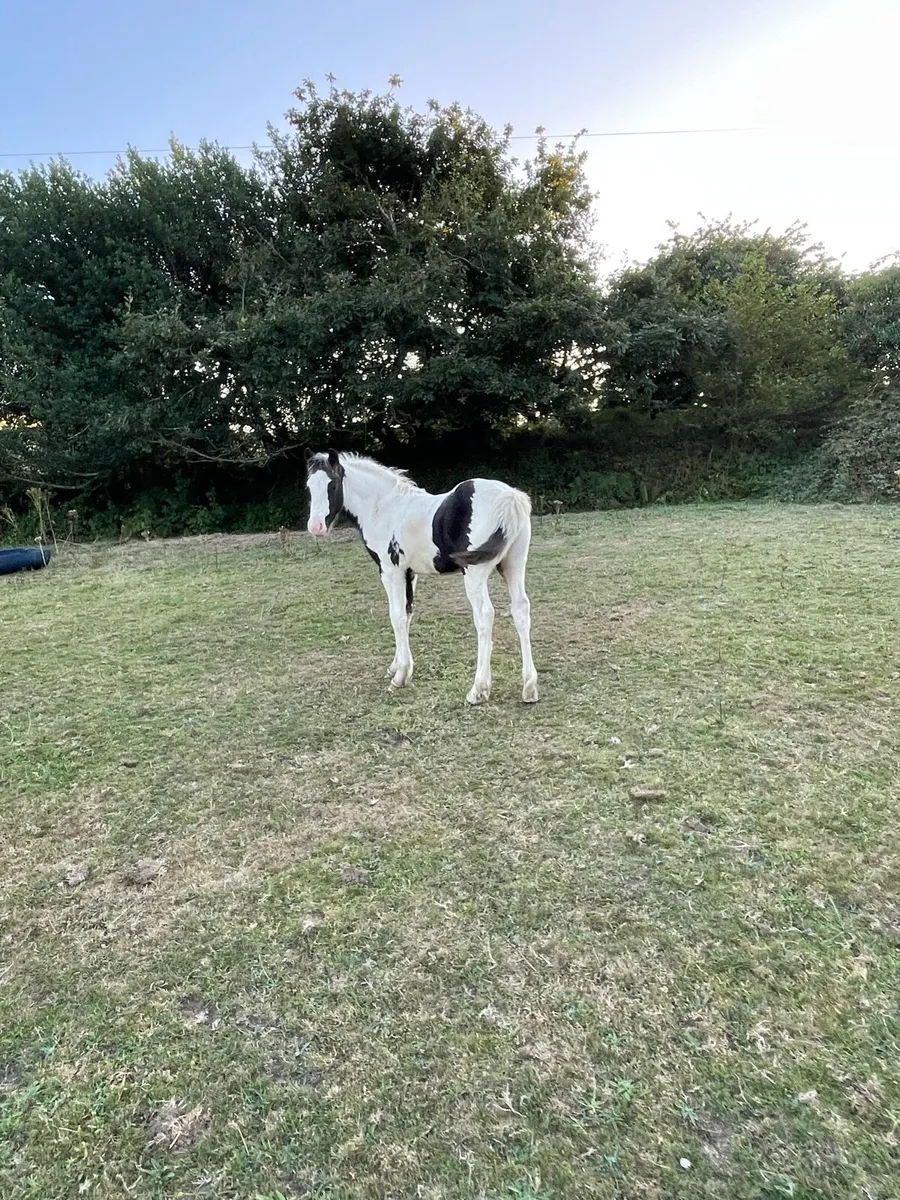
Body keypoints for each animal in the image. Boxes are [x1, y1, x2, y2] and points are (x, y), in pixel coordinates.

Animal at [306, 449, 538, 706]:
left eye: (333, 485)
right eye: (309, 487)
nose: (316, 527)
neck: (383, 508)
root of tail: (510, 498)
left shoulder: (391, 570)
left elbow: (396, 616)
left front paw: (399, 677)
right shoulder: (410, 573)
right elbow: (407, 614)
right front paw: (397, 666)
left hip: (475, 572)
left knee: (485, 615)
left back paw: (478, 690)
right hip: (514, 564)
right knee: (521, 609)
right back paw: (529, 688)